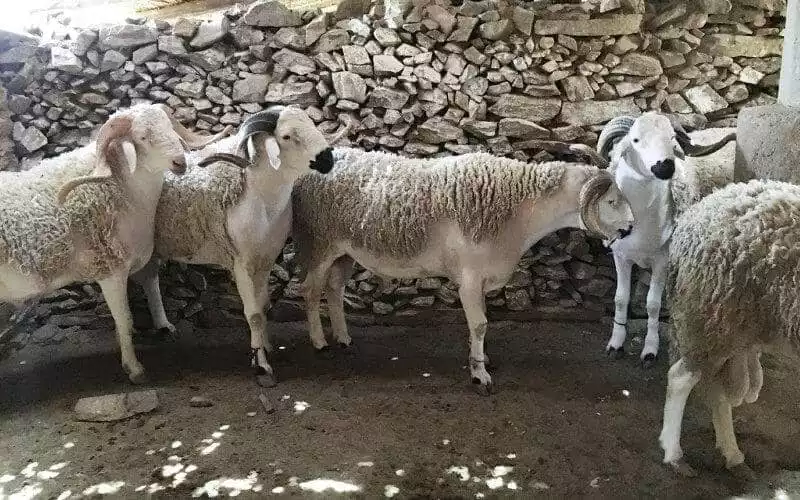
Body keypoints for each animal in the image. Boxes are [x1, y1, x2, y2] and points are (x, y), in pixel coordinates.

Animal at [0, 103, 230, 383]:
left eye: (170, 127)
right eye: (142, 137)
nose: (180, 162)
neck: (124, 188)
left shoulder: (138, 260)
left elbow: (150, 291)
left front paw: (160, 328)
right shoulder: (110, 270)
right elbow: (125, 321)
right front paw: (134, 369)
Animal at [132, 105, 338, 387]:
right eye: (286, 136)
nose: (328, 159)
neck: (260, 197)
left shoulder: (265, 259)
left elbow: (263, 307)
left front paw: (265, 346)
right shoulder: (241, 263)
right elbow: (253, 314)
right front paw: (261, 365)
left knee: (149, 278)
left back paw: (164, 326)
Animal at [291, 148, 635, 394]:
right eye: (613, 201)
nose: (631, 228)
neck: (519, 209)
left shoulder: (480, 279)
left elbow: (480, 322)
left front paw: (481, 360)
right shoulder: (468, 279)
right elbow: (480, 324)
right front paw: (480, 375)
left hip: (344, 253)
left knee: (334, 289)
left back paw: (343, 337)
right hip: (320, 244)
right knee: (311, 291)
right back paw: (320, 342)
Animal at [589, 112, 735, 367]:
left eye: (672, 138)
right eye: (635, 140)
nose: (665, 166)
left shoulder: (662, 261)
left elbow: (653, 305)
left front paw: (650, 349)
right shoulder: (621, 256)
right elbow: (620, 299)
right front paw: (616, 343)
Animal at [658, 179, 800, 478]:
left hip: (738, 328)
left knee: (717, 389)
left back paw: (732, 454)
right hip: (713, 315)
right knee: (681, 378)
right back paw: (674, 453)